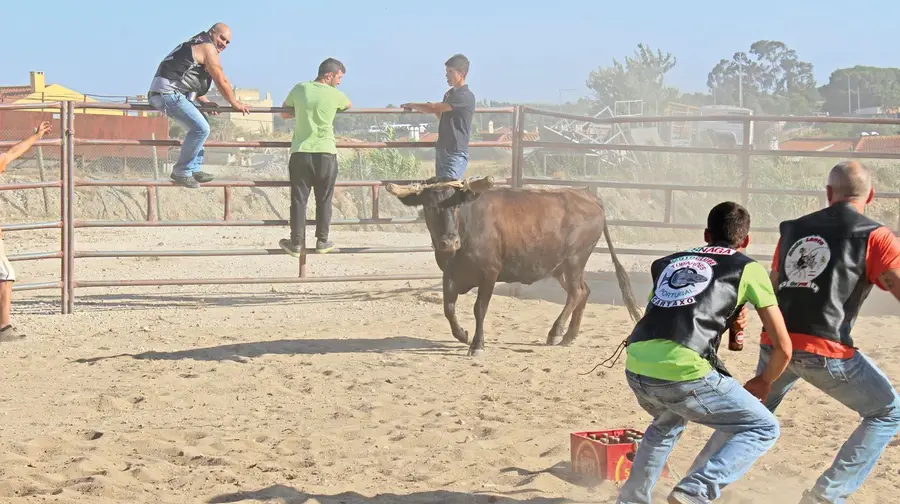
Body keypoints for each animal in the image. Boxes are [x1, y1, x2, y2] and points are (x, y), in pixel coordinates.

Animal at [384, 175, 644, 356]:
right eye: (428, 207)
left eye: (456, 206)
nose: (449, 242)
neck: (467, 228)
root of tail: (588, 197)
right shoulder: (449, 275)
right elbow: (448, 309)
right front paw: (464, 335)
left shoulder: (489, 274)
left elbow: (480, 309)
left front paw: (477, 344)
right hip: (560, 267)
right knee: (583, 291)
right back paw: (569, 335)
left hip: (574, 261)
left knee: (577, 292)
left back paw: (556, 332)